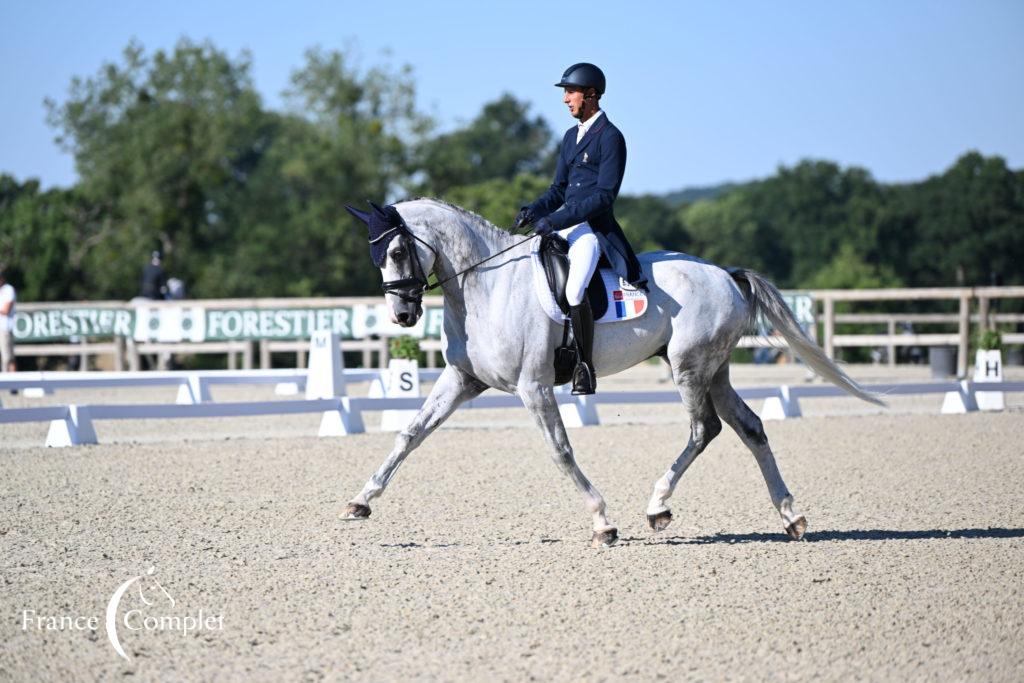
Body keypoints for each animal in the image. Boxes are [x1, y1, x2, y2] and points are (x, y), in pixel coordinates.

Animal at [342, 196, 880, 544]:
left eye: (396, 251)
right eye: (375, 255)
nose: (403, 315)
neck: (486, 287)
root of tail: (725, 274)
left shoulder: (534, 386)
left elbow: (560, 451)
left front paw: (603, 521)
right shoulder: (462, 380)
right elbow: (410, 434)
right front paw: (361, 501)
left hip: (689, 366)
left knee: (703, 429)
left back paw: (658, 507)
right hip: (715, 369)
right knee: (749, 427)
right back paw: (790, 516)